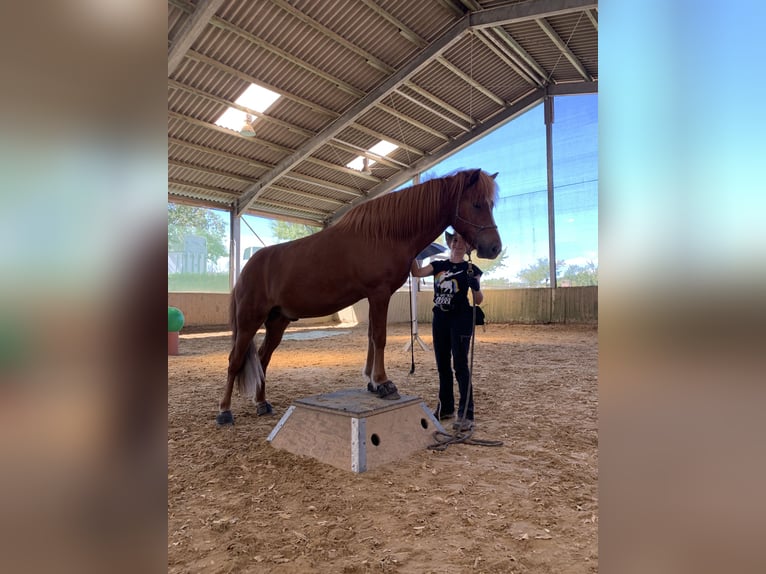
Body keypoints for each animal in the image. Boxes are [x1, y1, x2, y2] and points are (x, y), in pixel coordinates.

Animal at [216, 169, 504, 426]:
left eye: (491, 204)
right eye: (477, 204)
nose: (494, 248)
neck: (384, 233)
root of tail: (248, 268)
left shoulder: (374, 296)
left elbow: (370, 337)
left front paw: (372, 383)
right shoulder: (379, 293)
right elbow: (379, 337)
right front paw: (384, 383)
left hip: (278, 321)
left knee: (263, 358)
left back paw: (262, 403)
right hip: (249, 321)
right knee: (235, 360)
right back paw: (224, 412)